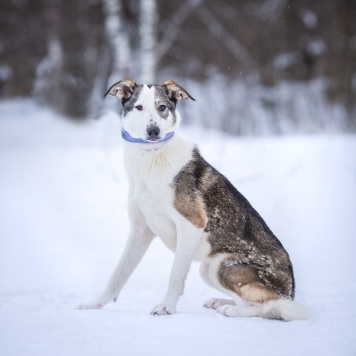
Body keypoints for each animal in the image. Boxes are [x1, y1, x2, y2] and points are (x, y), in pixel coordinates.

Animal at [78, 79, 308, 322]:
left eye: (162, 107)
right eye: (139, 107)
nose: (153, 131)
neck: (151, 155)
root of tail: (291, 290)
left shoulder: (191, 224)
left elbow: (175, 275)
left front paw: (166, 308)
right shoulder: (140, 231)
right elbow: (117, 275)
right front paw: (94, 304)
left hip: (223, 267)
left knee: (270, 307)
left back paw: (232, 310)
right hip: (206, 270)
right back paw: (220, 302)